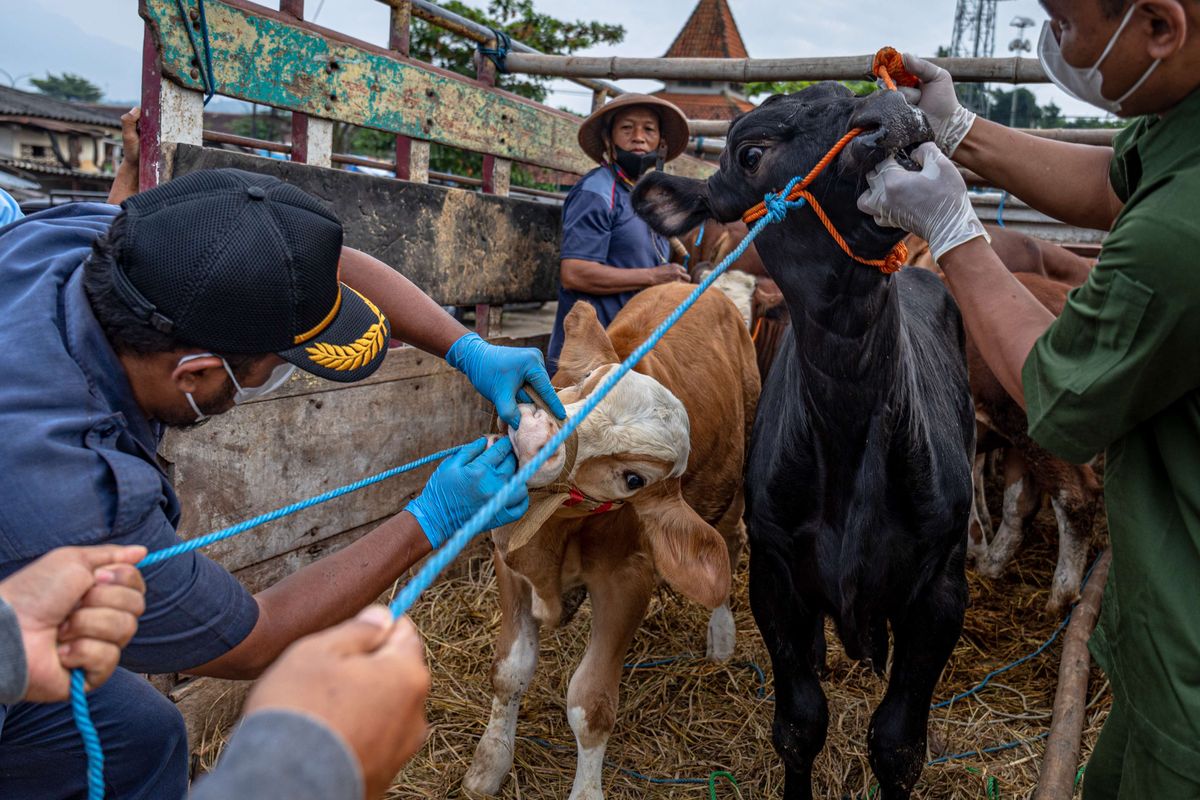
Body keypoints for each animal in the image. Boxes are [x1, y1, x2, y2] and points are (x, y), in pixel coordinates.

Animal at [460, 284, 758, 796]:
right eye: (584, 384)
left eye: (634, 479)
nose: (535, 434)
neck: (555, 537)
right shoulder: (508, 558)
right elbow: (508, 671)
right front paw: (489, 764)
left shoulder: (628, 579)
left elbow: (591, 705)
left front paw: (586, 789)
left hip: (736, 477)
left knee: (732, 541)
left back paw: (721, 638)